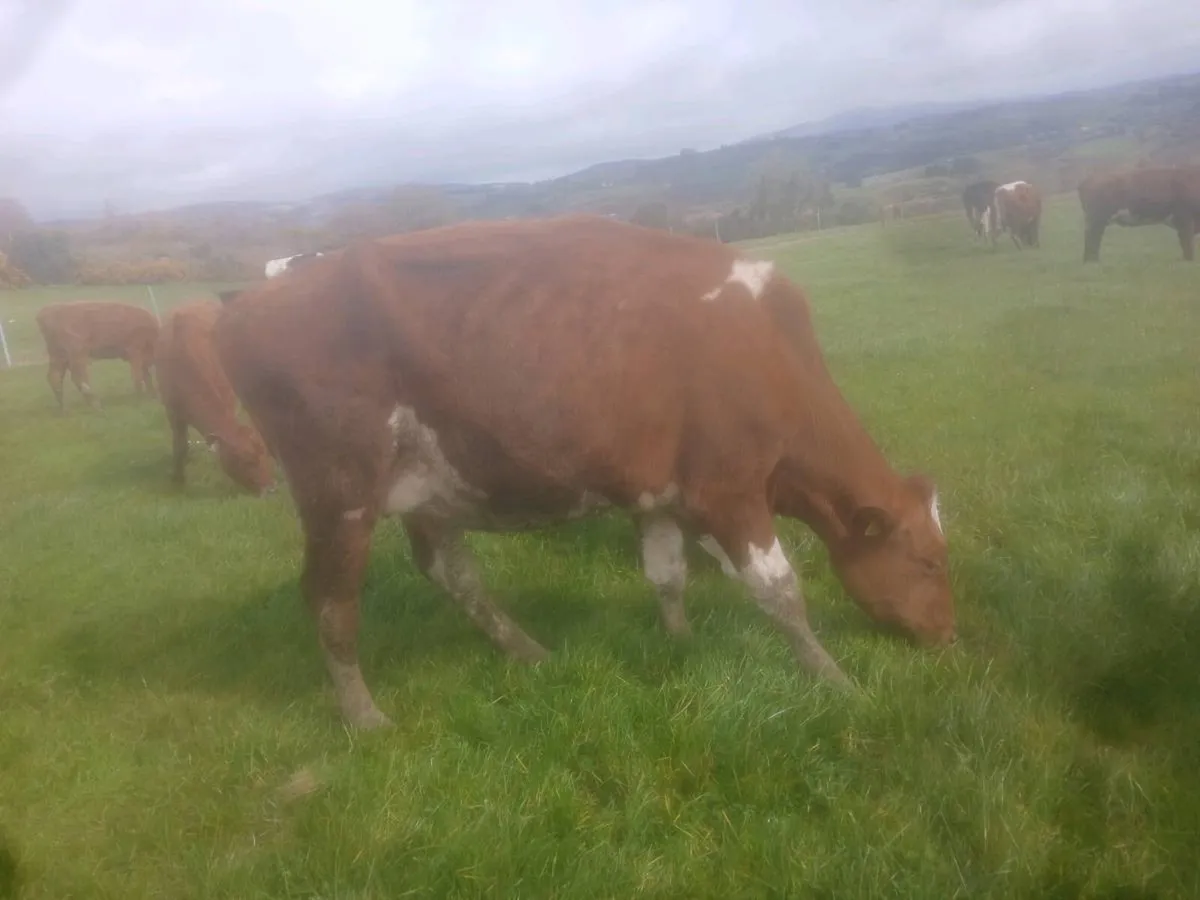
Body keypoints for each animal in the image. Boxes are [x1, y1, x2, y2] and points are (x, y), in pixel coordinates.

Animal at [154, 300, 275, 495]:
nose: (270, 488)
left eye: (263, 454)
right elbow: (179, 445)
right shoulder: (172, 412)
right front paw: (178, 478)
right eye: (245, 460)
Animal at [214, 215, 956, 729]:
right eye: (926, 562)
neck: (773, 354)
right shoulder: (729, 492)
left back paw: (528, 652)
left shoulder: (659, 494)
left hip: (425, 484)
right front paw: (835, 680)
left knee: (452, 574)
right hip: (338, 494)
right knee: (331, 601)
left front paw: (680, 642)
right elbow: (781, 594)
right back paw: (364, 714)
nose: (948, 636)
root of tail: (249, 302)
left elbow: (666, 574)